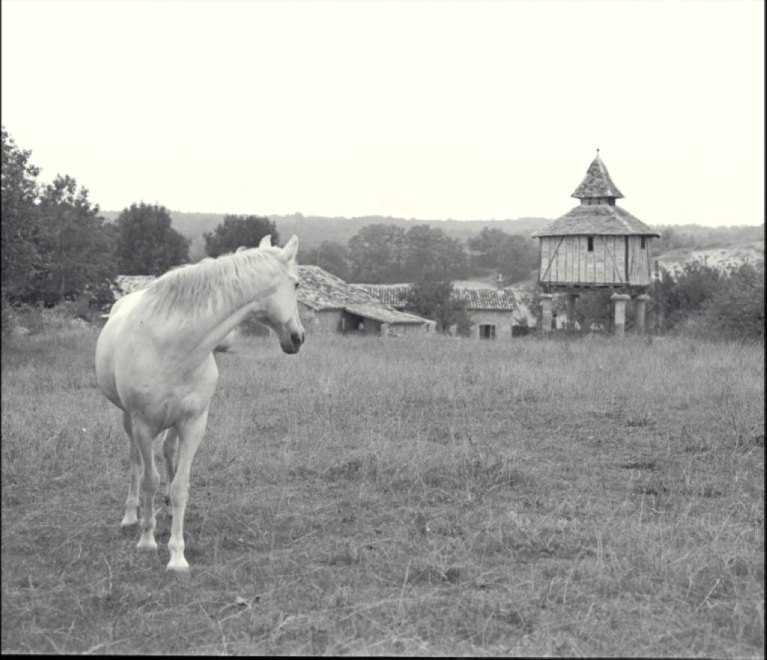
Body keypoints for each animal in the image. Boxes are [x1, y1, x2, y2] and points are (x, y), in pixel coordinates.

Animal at [93, 235, 304, 568]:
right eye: (296, 284)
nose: (299, 338)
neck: (172, 346)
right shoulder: (143, 425)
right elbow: (149, 479)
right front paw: (147, 540)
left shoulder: (193, 424)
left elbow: (181, 486)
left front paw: (177, 555)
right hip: (128, 421)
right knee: (135, 463)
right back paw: (130, 515)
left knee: (168, 452)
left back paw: (166, 509)